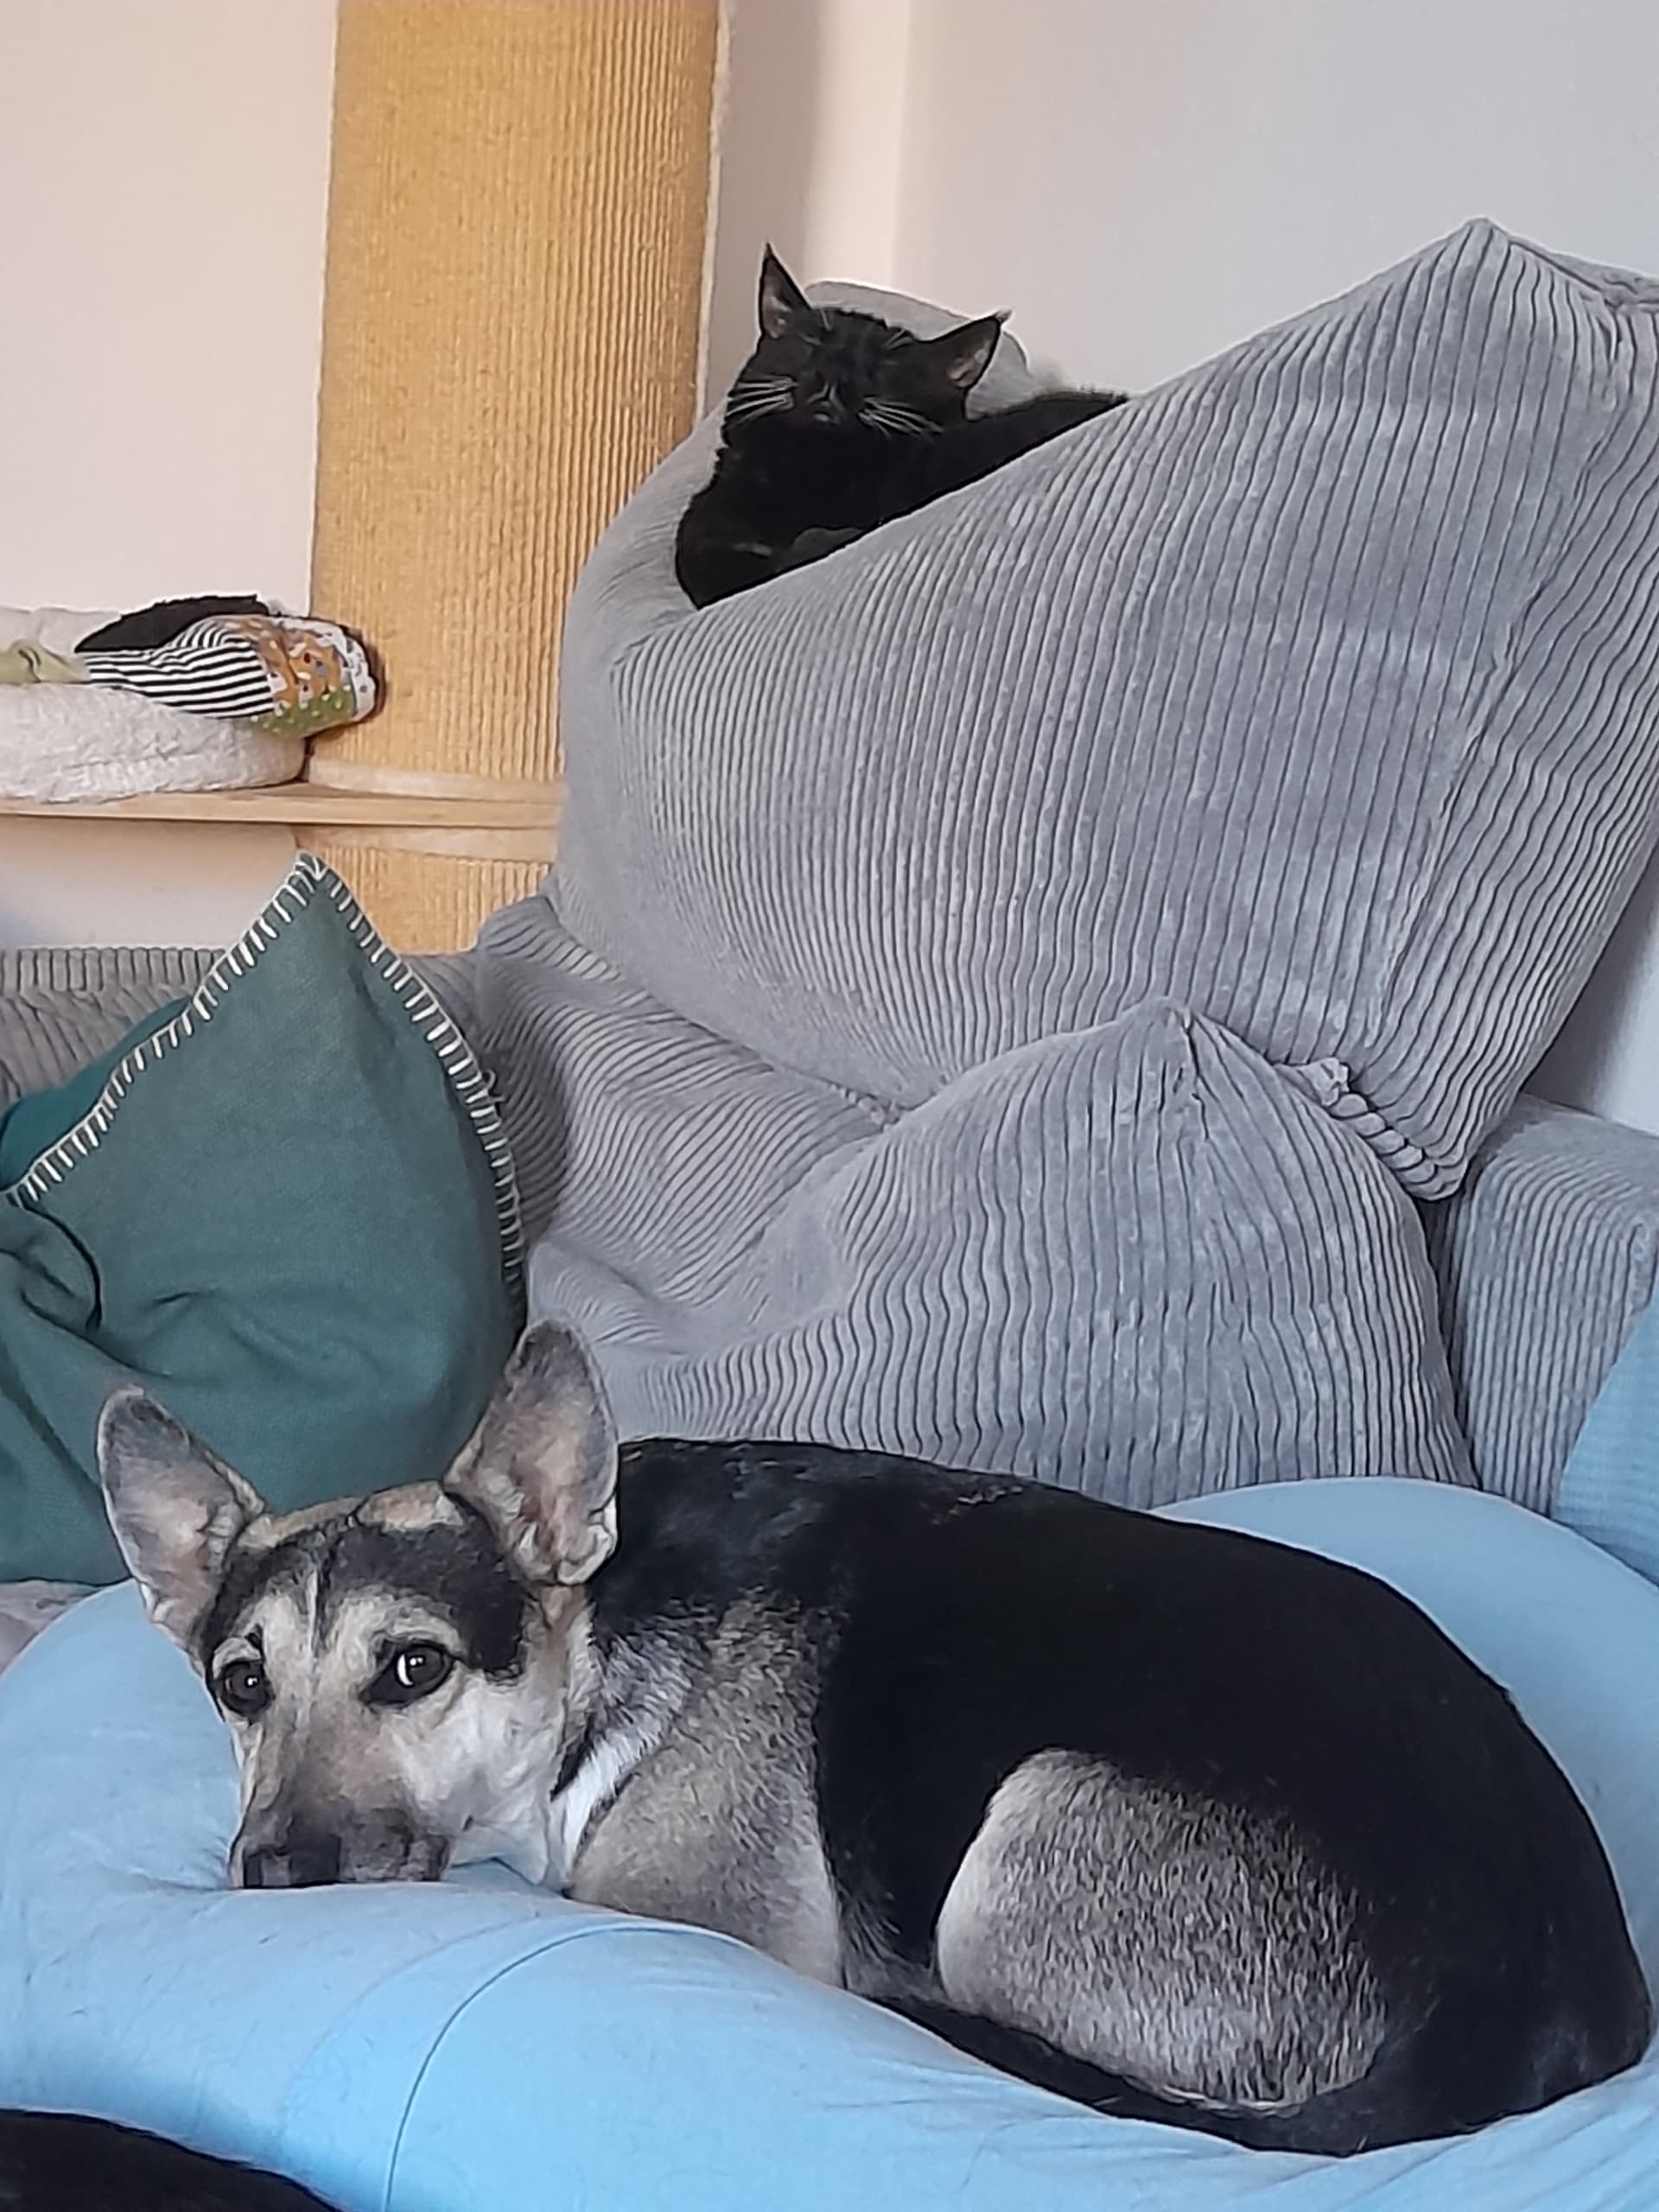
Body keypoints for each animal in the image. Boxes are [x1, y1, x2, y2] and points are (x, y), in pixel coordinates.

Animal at [97, 1322, 1651, 2156]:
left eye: (413, 1668)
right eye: (240, 1684)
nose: (273, 1873)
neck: (592, 1635)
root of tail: (1535, 1994)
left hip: (1027, 1825)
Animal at [674, 247, 1126, 607]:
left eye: (885, 365)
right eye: (811, 344)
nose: (834, 374)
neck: (812, 472)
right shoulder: (707, 528)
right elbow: (710, 561)